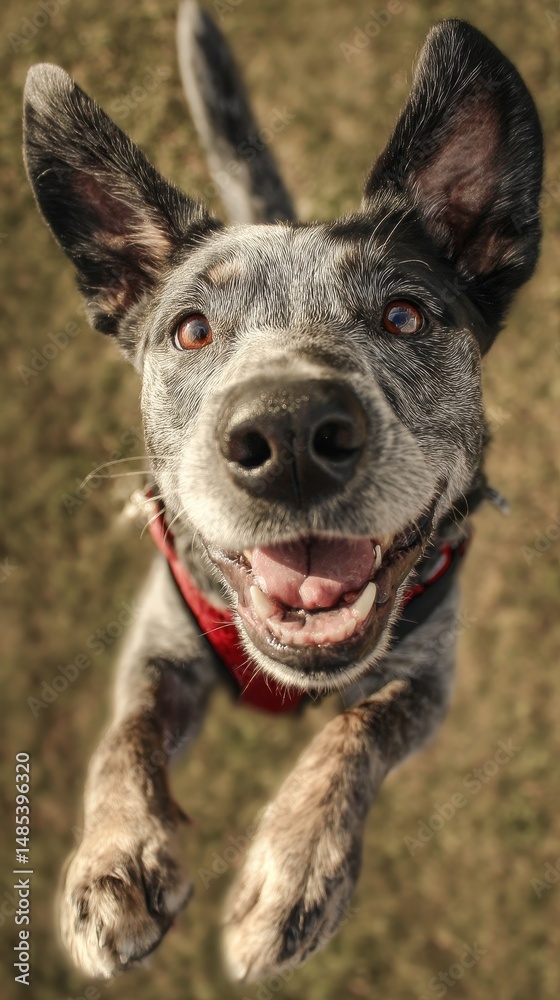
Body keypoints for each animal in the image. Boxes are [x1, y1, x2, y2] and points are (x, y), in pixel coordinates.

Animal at [23, 1, 543, 983]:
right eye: (190, 330)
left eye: (405, 315)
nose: (292, 436)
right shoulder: (159, 644)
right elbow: (124, 737)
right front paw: (116, 858)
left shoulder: (428, 678)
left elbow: (355, 733)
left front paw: (294, 868)